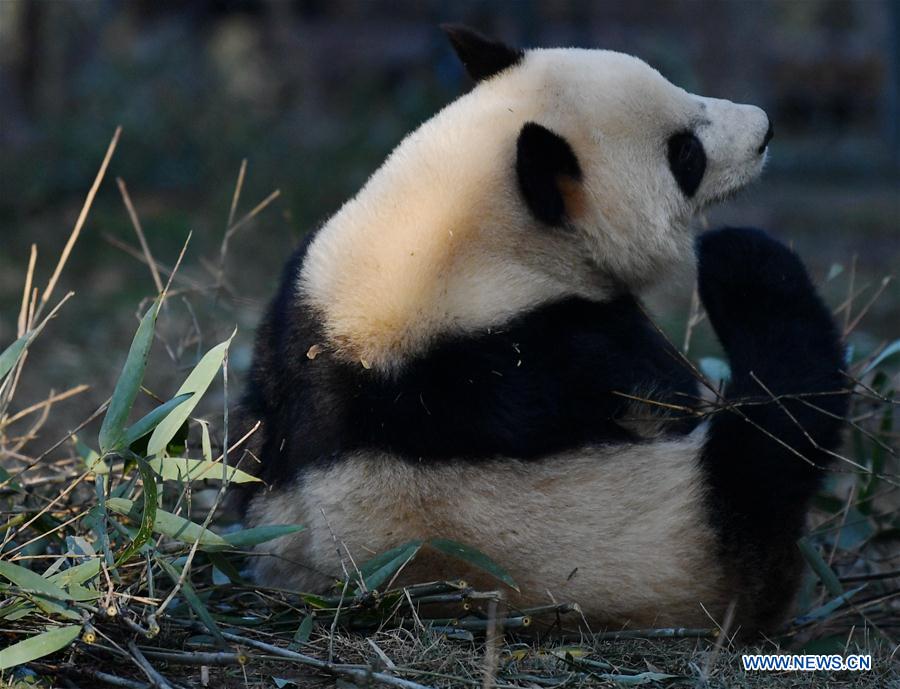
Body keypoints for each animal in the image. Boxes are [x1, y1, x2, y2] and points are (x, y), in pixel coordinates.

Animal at [238, 25, 847, 633]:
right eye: (685, 154)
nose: (764, 129)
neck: (445, 244)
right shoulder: (558, 349)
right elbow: (667, 392)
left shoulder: (302, 306)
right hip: (689, 532)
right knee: (776, 439)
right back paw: (744, 265)